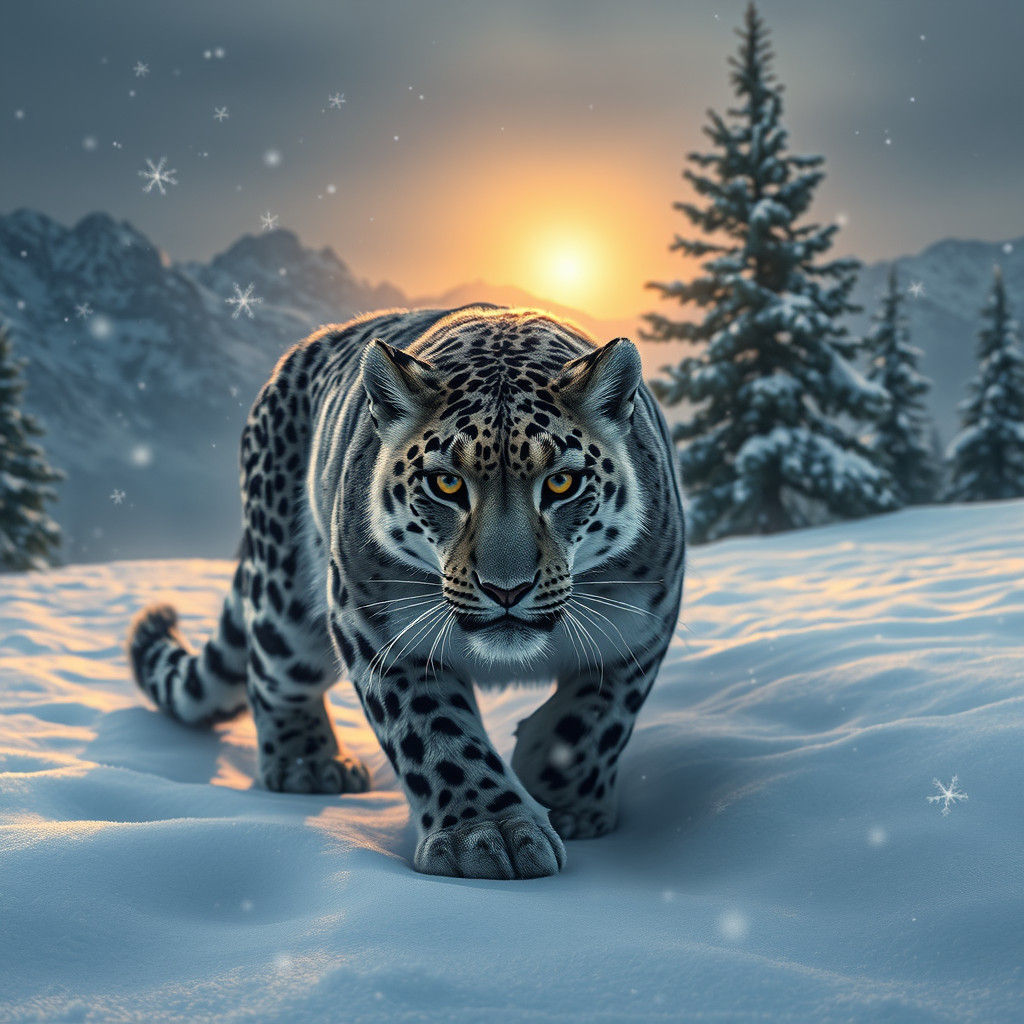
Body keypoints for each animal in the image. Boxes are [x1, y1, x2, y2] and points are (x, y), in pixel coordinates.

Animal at [127, 305, 685, 879]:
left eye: (561, 483)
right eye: (446, 484)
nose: (506, 589)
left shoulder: (642, 624)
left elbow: (594, 722)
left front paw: (564, 798)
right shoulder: (374, 621)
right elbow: (434, 730)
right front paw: (489, 833)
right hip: (286, 599)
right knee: (273, 673)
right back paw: (310, 766)